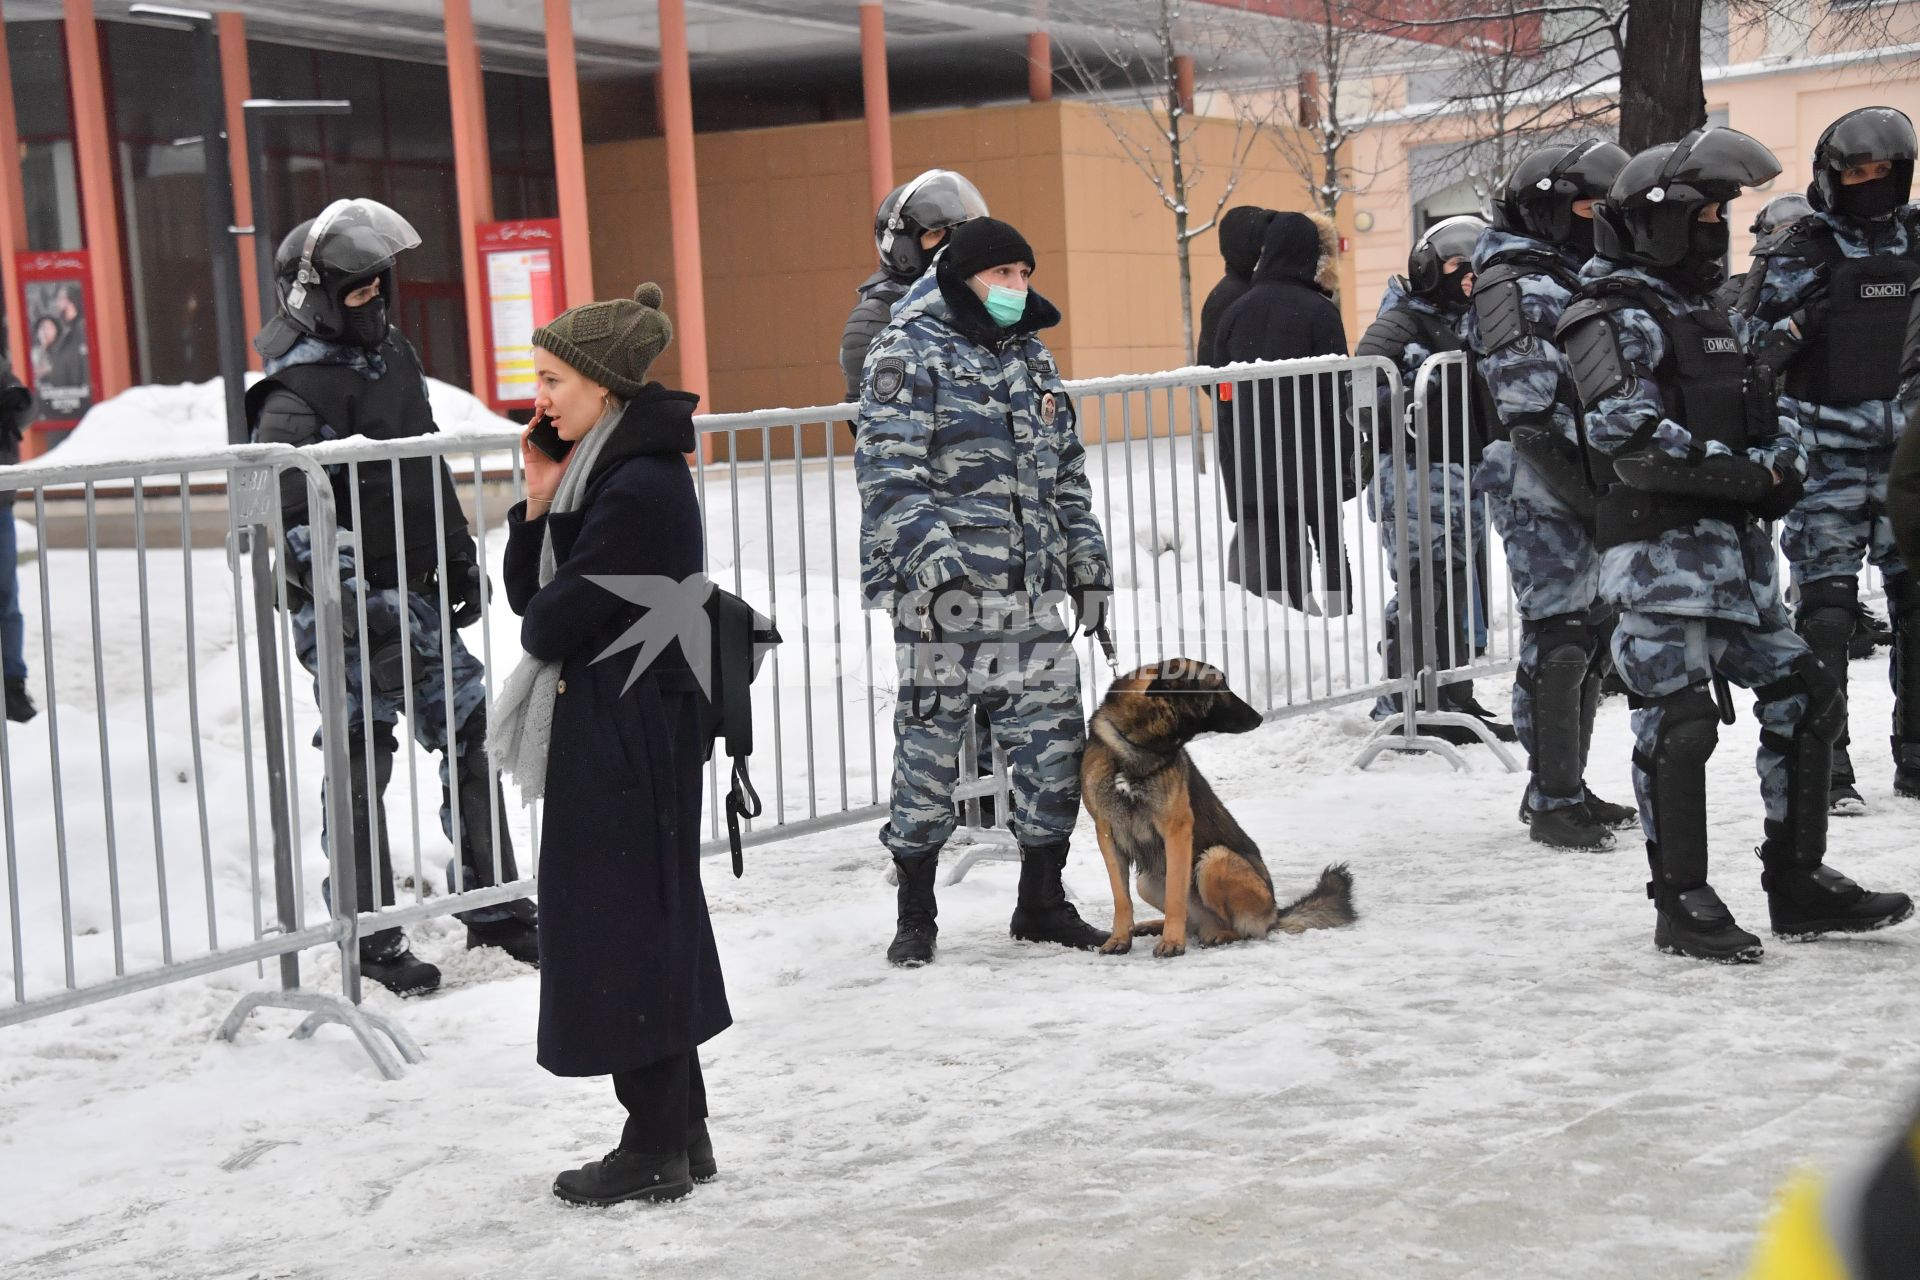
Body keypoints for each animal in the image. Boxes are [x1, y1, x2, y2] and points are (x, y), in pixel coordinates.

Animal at [1090, 667, 1359, 955]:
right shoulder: (1106, 833)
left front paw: (1171, 942)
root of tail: (1274, 915)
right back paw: (1155, 925)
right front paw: (1119, 939)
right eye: (1218, 687)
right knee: (1192, 922)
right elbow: (1121, 898)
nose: (1259, 717)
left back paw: (1216, 934)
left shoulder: (1176, 829)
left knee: (1238, 928)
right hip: (1146, 882)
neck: (1136, 746)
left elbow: (1175, 895)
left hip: (1214, 861)